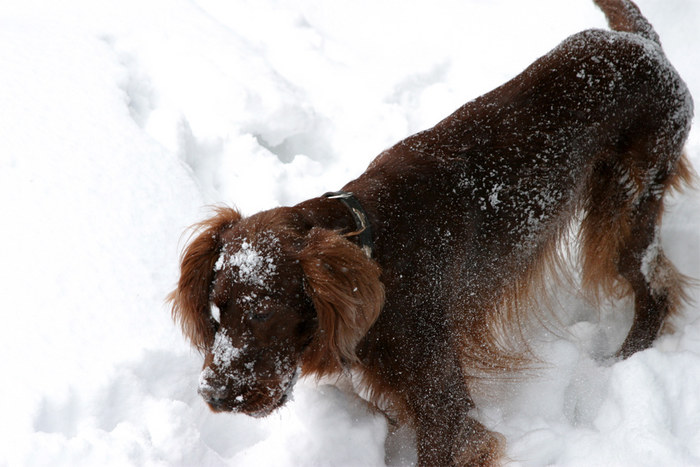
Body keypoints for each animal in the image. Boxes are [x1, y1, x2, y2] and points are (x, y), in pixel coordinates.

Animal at [170, 1, 696, 466]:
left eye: (263, 312)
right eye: (217, 308)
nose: (213, 394)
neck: (377, 253)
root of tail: (643, 43)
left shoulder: (443, 407)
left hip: (624, 207)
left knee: (655, 288)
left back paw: (621, 361)